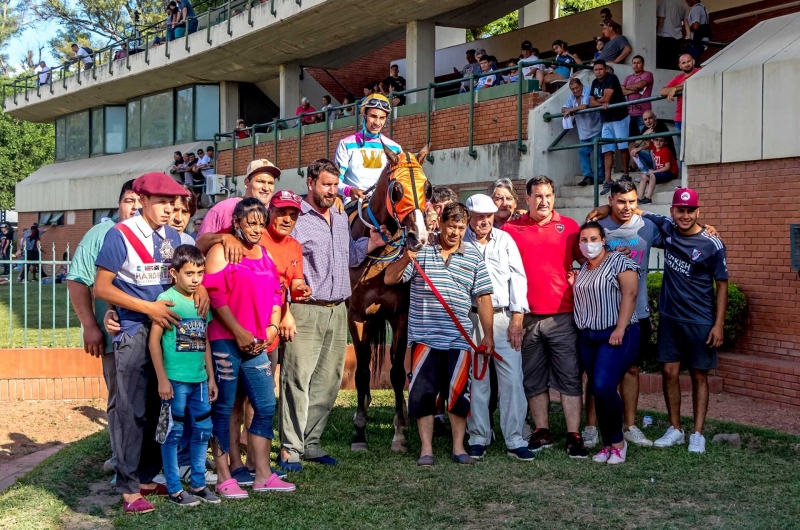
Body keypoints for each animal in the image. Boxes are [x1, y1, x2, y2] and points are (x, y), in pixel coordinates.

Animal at [346, 143, 432, 450]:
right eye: (397, 189)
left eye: (428, 188)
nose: (419, 236)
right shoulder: (358, 315)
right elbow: (361, 371)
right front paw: (359, 432)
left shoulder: (400, 315)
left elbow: (396, 371)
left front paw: (399, 433)